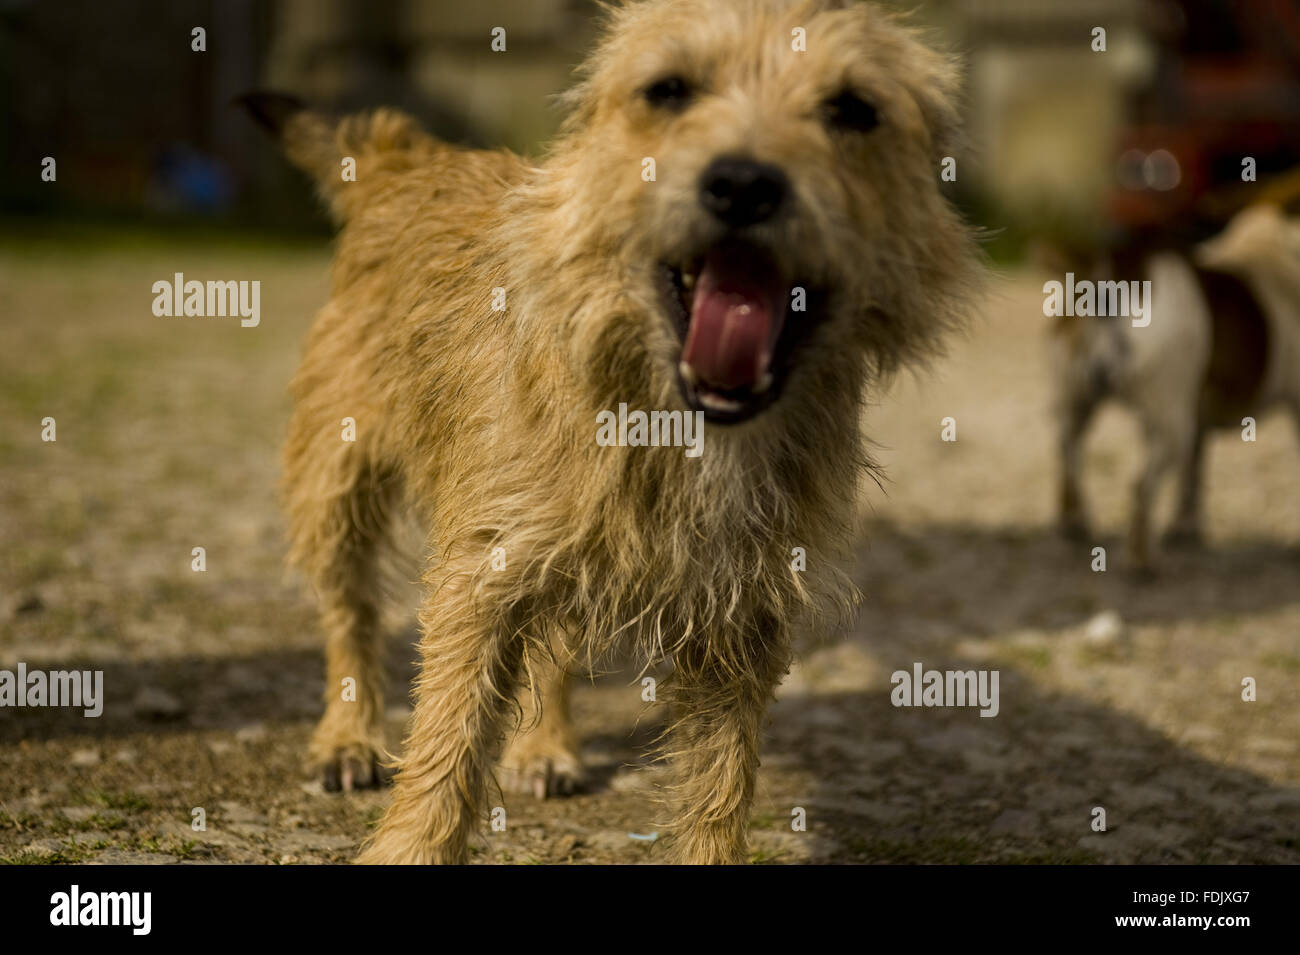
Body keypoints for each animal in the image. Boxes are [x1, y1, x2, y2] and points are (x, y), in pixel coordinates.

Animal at [241, 0, 977, 867]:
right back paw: (348, 736)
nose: (743, 184)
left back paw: (544, 744)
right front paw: (412, 845)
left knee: (554, 638)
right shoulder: (482, 571)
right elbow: (449, 736)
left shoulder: (744, 614)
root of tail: (409, 161)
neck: (672, 419)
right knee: (350, 610)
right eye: (669, 90)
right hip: (339, 478)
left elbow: (720, 784)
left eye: (852, 109)